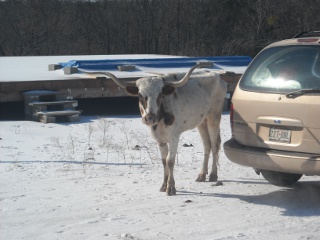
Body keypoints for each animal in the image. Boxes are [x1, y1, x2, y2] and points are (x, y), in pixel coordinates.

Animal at [85, 63, 228, 195]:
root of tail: (218, 76)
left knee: (214, 144)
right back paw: (202, 175)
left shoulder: (174, 136)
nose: (150, 118)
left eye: (159, 95)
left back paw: (213, 175)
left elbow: (170, 161)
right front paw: (164, 185)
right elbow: (164, 161)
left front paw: (171, 187)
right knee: (206, 145)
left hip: (214, 116)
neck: (160, 118)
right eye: (140, 95)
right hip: (201, 121)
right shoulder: (160, 139)